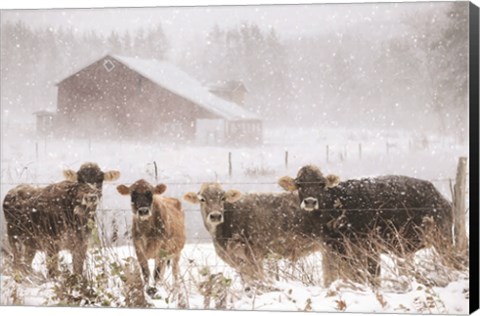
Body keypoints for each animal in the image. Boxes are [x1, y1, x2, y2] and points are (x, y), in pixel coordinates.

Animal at [184, 183, 322, 288]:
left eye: (223, 198)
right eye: (202, 199)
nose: (215, 216)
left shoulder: (254, 255)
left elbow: (258, 279)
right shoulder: (237, 261)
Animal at [278, 165, 454, 286]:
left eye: (321, 184)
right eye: (299, 184)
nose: (310, 202)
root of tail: (439, 196)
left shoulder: (369, 248)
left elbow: (371, 277)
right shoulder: (334, 249)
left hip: (443, 241)